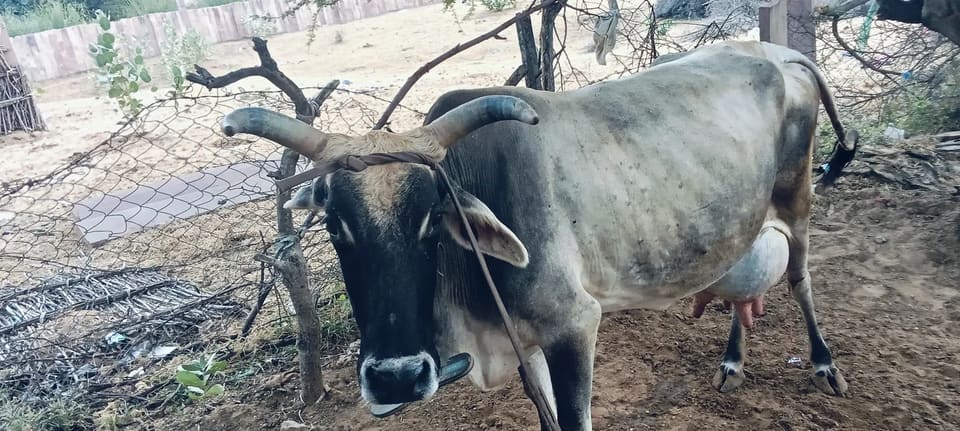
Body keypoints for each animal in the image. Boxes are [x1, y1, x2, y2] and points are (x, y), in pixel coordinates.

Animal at [221, 40, 859, 430]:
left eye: (432, 220)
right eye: (335, 226)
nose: (396, 377)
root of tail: (780, 53)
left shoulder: (573, 325)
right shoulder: (527, 345)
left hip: (797, 201)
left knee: (800, 278)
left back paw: (824, 365)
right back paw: (731, 362)